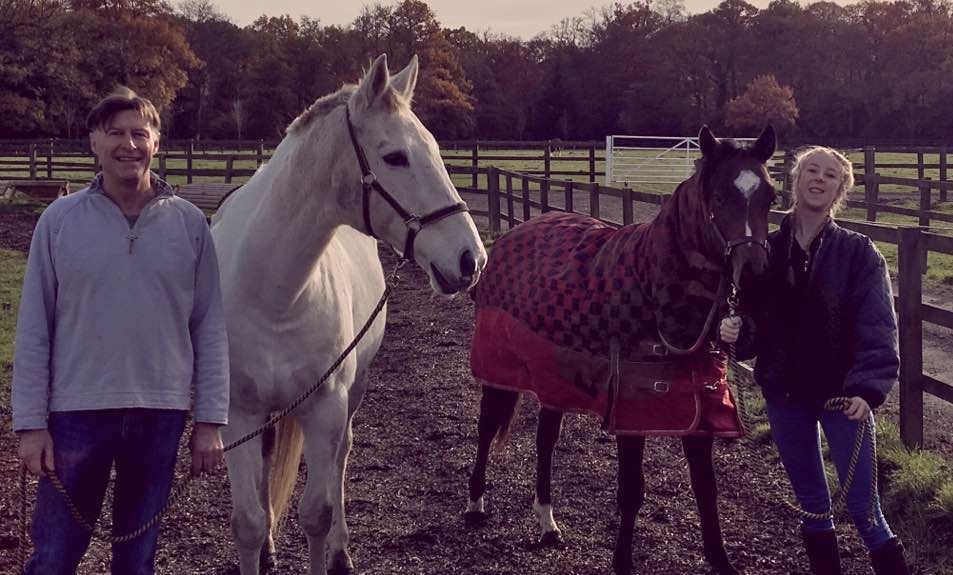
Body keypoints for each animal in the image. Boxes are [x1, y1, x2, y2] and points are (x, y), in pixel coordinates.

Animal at [211, 54, 487, 575]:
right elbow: (248, 522)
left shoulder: (326, 406)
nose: (471, 260)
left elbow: (316, 514)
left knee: (342, 456)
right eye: (395, 157)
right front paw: (262, 542)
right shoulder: (239, 413)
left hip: (351, 393)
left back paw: (341, 552)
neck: (274, 292)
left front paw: (328, 548)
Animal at [465, 126, 777, 575]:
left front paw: (721, 562)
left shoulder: (697, 408)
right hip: (498, 370)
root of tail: (510, 237)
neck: (653, 287)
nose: (754, 275)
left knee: (545, 441)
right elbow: (632, 490)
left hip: (553, 378)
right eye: (719, 197)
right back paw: (475, 505)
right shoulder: (631, 409)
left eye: (770, 196)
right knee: (487, 428)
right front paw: (623, 562)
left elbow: (706, 488)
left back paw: (547, 523)